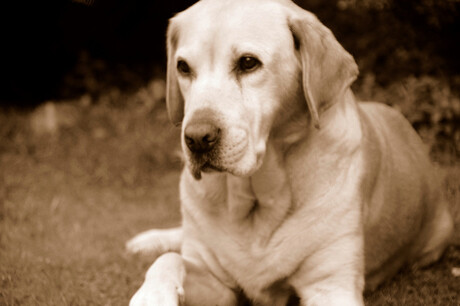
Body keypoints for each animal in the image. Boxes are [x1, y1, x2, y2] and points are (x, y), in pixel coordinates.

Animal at [125, 1, 452, 304]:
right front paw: (151, 295)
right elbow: (169, 260)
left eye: (248, 62)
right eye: (183, 67)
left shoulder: (330, 286)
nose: (197, 138)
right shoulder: (215, 282)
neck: (256, 200)